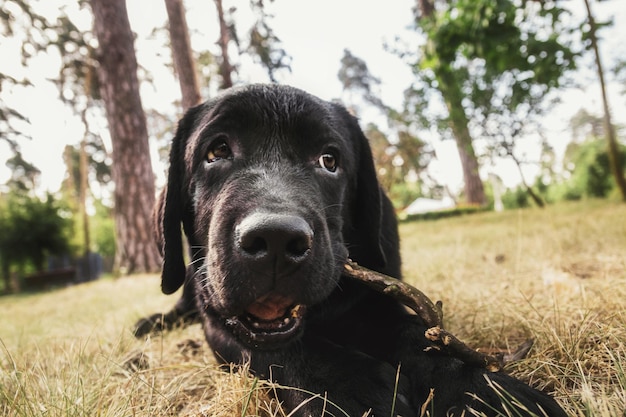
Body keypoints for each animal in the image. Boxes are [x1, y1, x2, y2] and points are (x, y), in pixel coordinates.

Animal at [138, 84, 564, 416]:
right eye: (216, 152)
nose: (275, 239)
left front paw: (482, 392)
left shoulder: (378, 301)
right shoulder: (219, 321)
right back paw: (151, 323)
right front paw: (347, 388)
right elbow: (272, 350)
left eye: (329, 160)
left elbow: (421, 335)